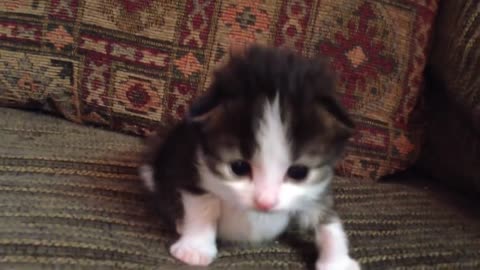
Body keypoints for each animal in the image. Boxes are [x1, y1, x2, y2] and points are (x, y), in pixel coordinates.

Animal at [139, 45, 360, 268]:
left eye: (299, 172)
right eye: (239, 167)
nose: (265, 202)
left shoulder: (316, 189)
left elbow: (327, 219)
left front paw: (337, 262)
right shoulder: (188, 165)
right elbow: (203, 206)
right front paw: (195, 250)